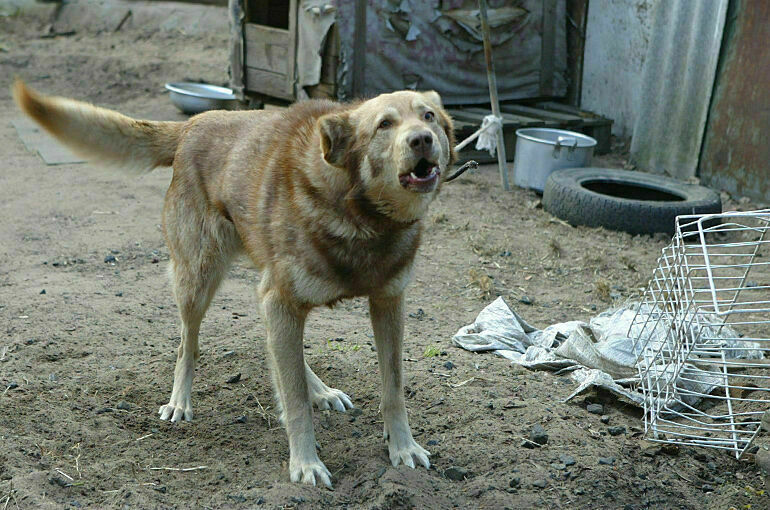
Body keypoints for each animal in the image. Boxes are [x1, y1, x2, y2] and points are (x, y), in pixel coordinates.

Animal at [12, 78, 452, 486]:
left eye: (428, 115)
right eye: (384, 124)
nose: (422, 139)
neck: (360, 214)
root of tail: (192, 124)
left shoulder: (387, 303)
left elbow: (393, 390)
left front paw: (403, 448)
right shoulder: (281, 300)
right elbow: (293, 400)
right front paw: (306, 463)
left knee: (275, 349)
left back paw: (320, 390)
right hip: (197, 281)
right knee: (187, 346)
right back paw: (180, 402)